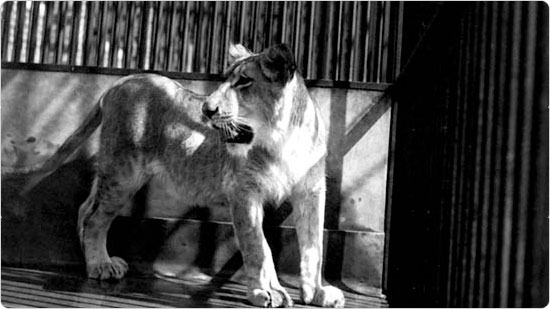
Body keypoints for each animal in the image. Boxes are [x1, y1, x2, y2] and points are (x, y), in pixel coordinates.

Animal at [25, 42, 348, 306]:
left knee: (85, 208)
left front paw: (316, 292)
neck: (283, 140)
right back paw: (99, 265)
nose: (206, 109)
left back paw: (91, 260)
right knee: (94, 218)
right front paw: (263, 292)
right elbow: (258, 246)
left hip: (113, 170)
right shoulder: (243, 191)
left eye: (245, 81)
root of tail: (122, 81)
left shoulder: (311, 192)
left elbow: (313, 246)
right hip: (124, 171)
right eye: (224, 80)